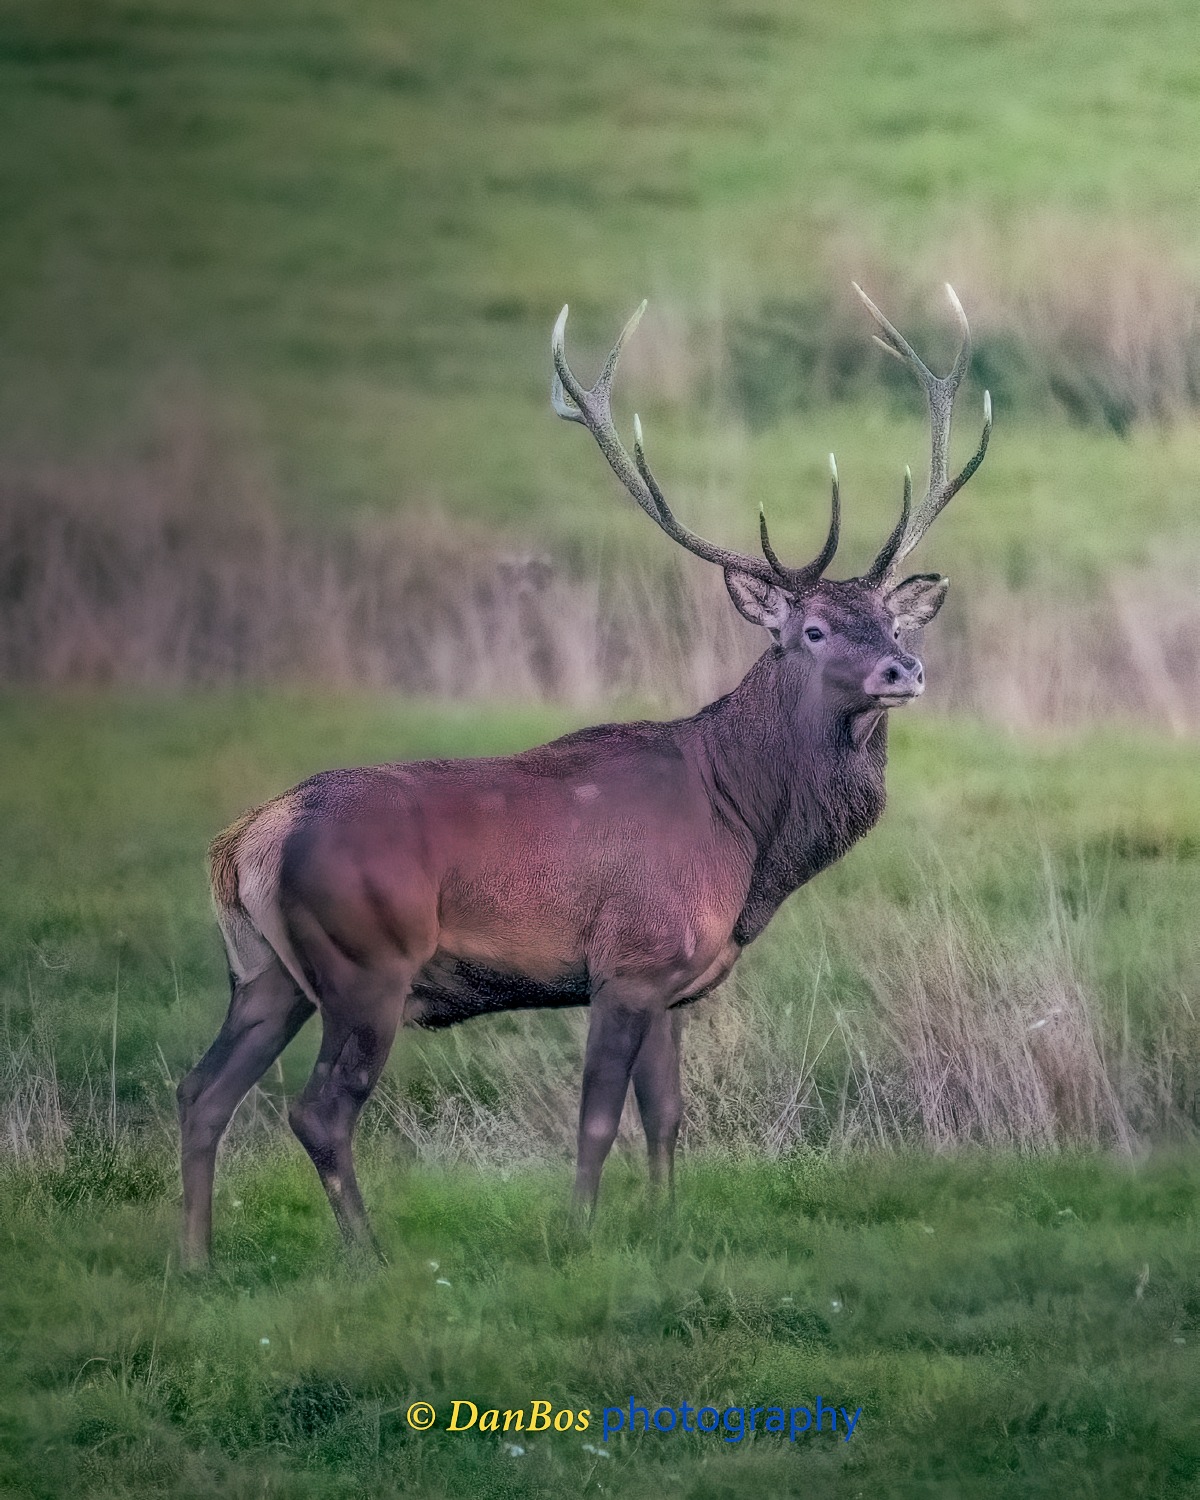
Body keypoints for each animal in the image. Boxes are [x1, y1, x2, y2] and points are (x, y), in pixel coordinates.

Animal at [178, 284, 991, 1265]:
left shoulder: (677, 978)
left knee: (201, 1093)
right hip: (364, 964)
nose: (903, 671)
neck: (743, 830)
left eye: (894, 622)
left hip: (265, 973)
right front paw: (576, 1235)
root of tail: (248, 839)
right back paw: (369, 1258)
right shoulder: (626, 961)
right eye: (814, 630)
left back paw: (194, 1260)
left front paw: (667, 1228)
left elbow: (669, 1116)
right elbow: (599, 1119)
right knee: (320, 1111)